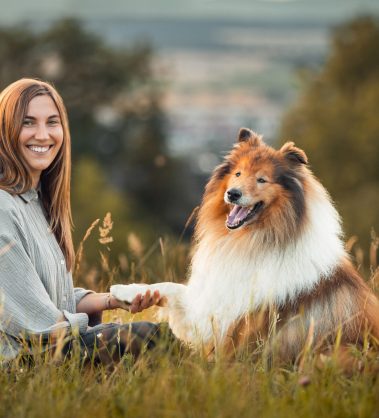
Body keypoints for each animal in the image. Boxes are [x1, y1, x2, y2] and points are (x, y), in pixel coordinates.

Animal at [111, 127, 379, 362]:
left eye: (261, 180)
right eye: (238, 173)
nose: (233, 193)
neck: (252, 240)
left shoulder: (225, 322)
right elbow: (169, 286)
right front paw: (127, 291)